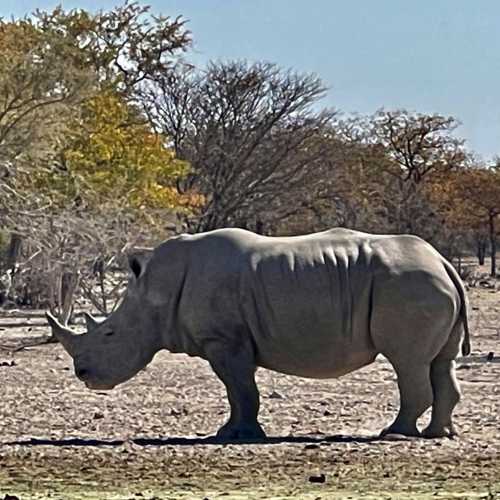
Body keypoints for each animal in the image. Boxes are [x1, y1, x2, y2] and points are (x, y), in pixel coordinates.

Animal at [46, 229, 468, 440]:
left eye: (110, 333)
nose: (82, 374)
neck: (155, 289)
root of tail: (444, 262)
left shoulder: (224, 340)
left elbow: (240, 388)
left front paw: (235, 435)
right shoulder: (230, 341)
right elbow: (239, 390)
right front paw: (234, 431)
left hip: (409, 285)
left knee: (407, 361)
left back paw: (394, 434)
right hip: (425, 283)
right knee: (439, 362)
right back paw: (439, 435)